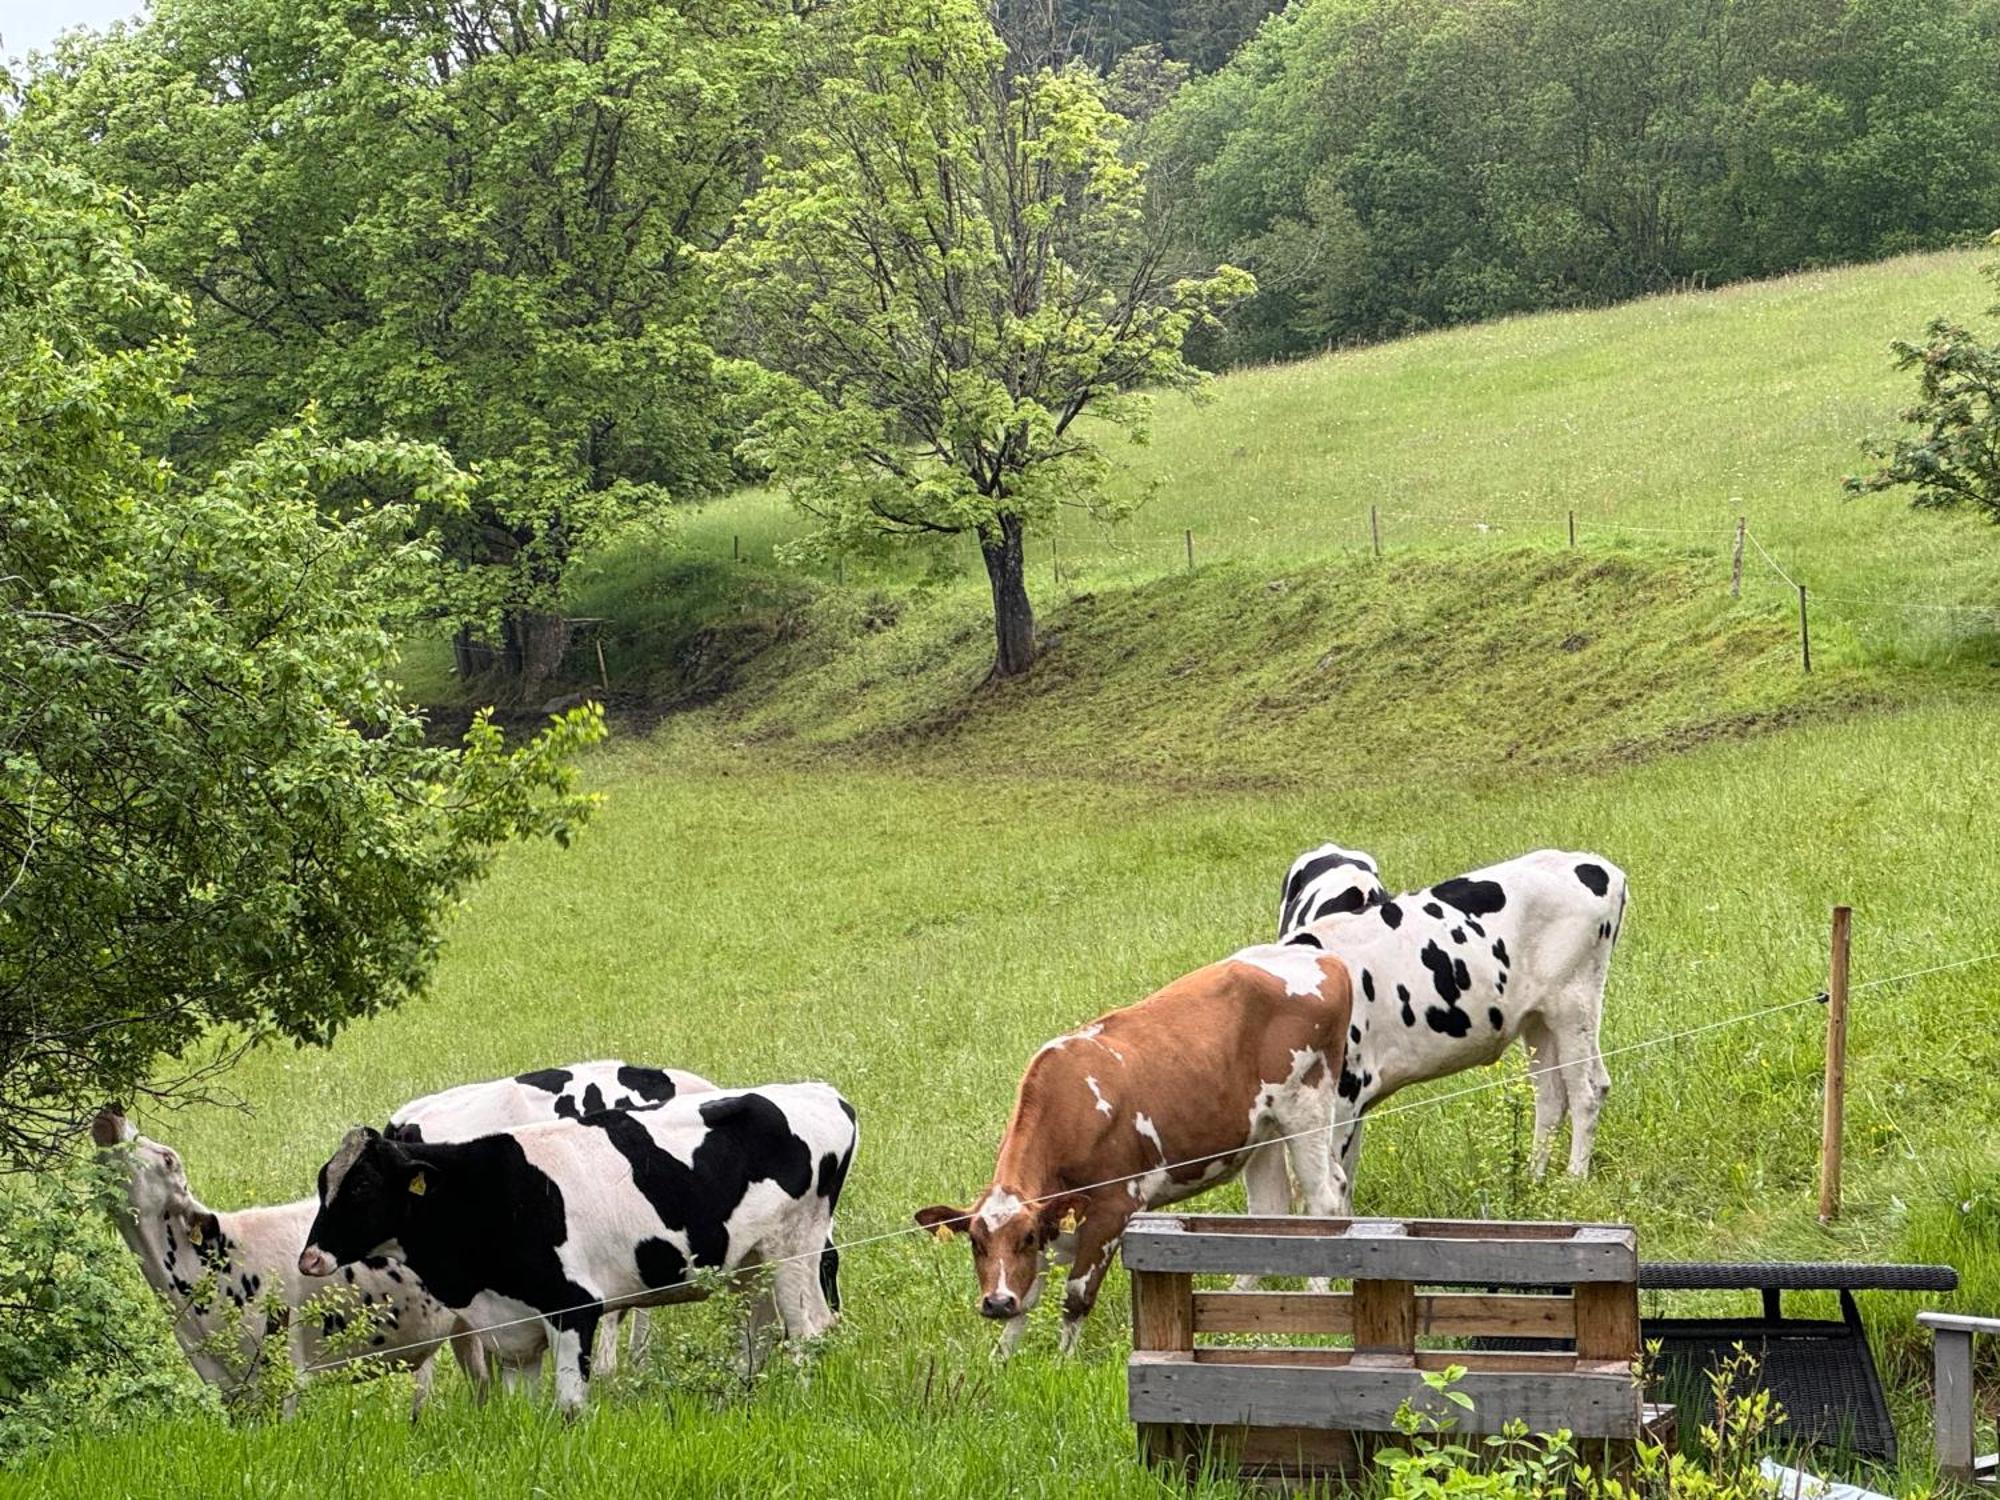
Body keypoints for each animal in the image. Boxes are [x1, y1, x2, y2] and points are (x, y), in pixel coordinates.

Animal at [916, 944, 1352, 1360]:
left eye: (1025, 1238)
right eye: (975, 1242)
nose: (994, 1303)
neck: (1069, 1106)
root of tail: (1325, 958)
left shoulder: (1113, 1208)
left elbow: (1076, 1296)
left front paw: (1063, 1362)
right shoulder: (1046, 1218)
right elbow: (1026, 1300)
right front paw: (1001, 1360)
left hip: (1306, 1107)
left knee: (1322, 1200)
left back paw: (1316, 1294)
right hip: (1263, 1130)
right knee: (1272, 1207)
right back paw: (1238, 1304)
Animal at [1280, 852, 1624, 1216]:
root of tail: (1597, 864)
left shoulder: (1344, 1095)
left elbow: (1327, 1186)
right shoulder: (1352, 1105)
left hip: (1573, 1003)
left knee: (1586, 1093)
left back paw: (1573, 1181)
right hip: (1540, 1020)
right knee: (1555, 1096)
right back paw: (1533, 1181)